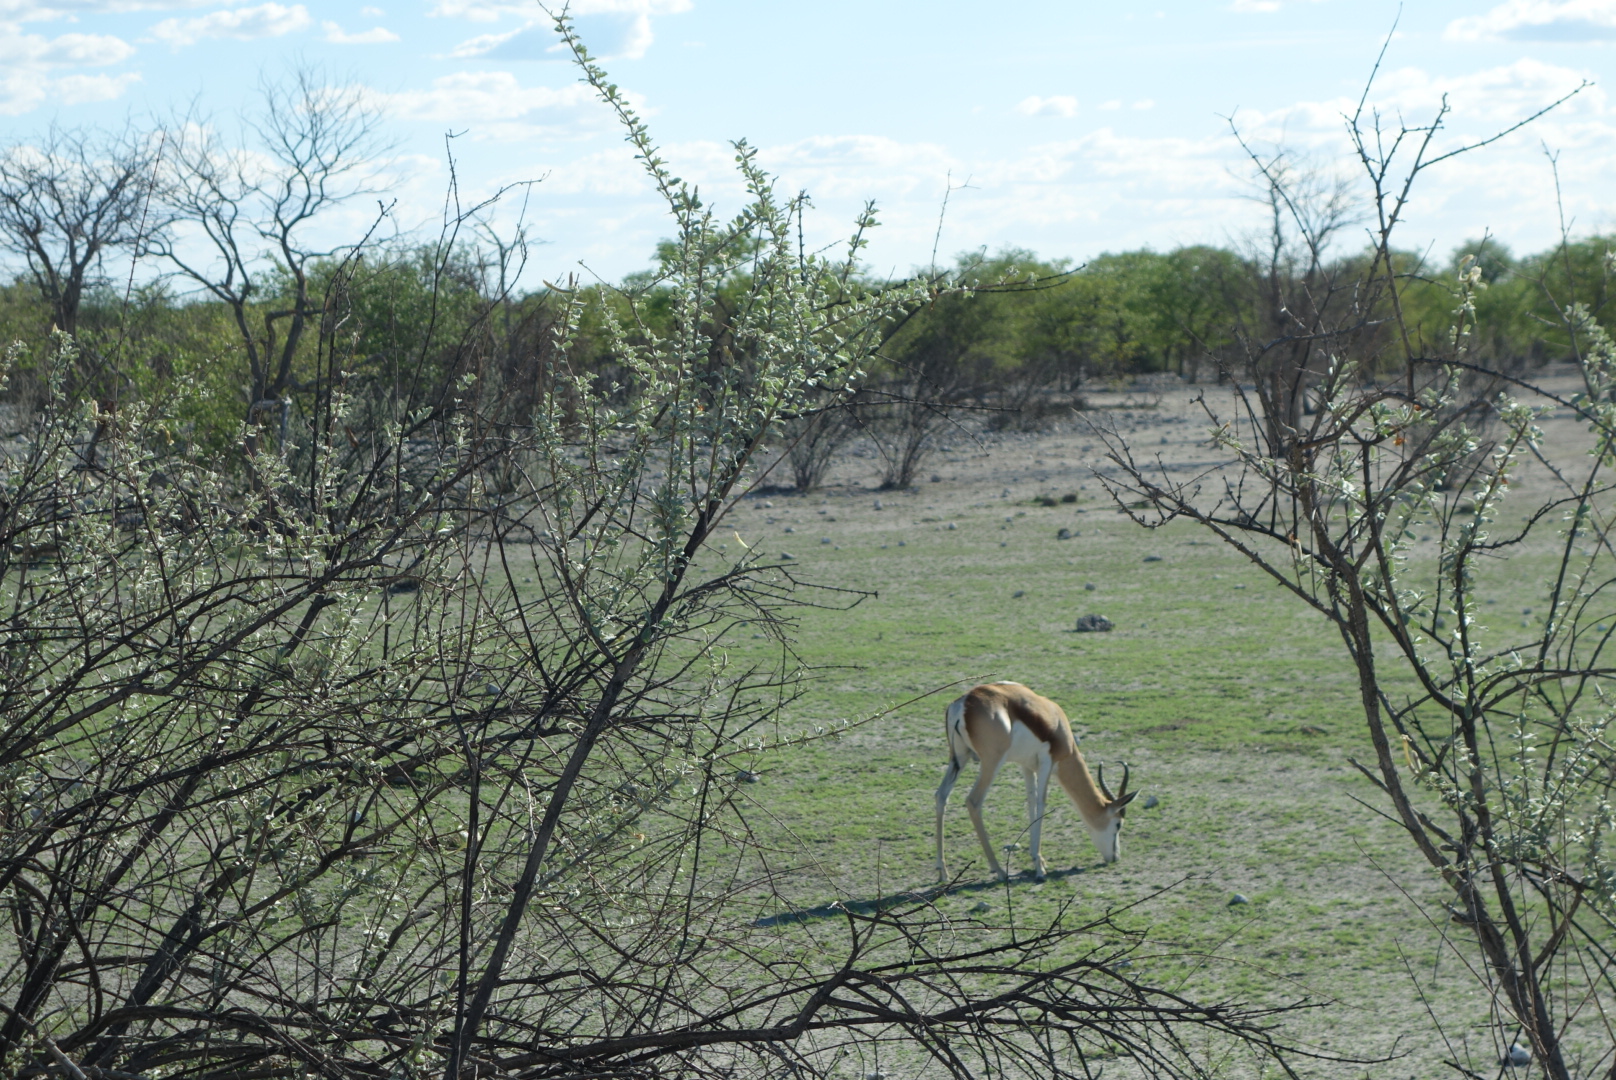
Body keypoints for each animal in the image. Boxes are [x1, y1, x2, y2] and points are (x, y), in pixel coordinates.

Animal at [937, 679, 1137, 879]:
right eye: (1118, 824)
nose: (1115, 857)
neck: (1058, 725)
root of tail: (963, 703)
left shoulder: (1026, 766)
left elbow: (1031, 802)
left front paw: (1037, 860)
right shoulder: (1047, 762)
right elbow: (1041, 803)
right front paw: (1040, 868)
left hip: (959, 758)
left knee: (941, 795)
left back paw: (943, 872)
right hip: (992, 762)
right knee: (973, 801)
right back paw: (999, 870)